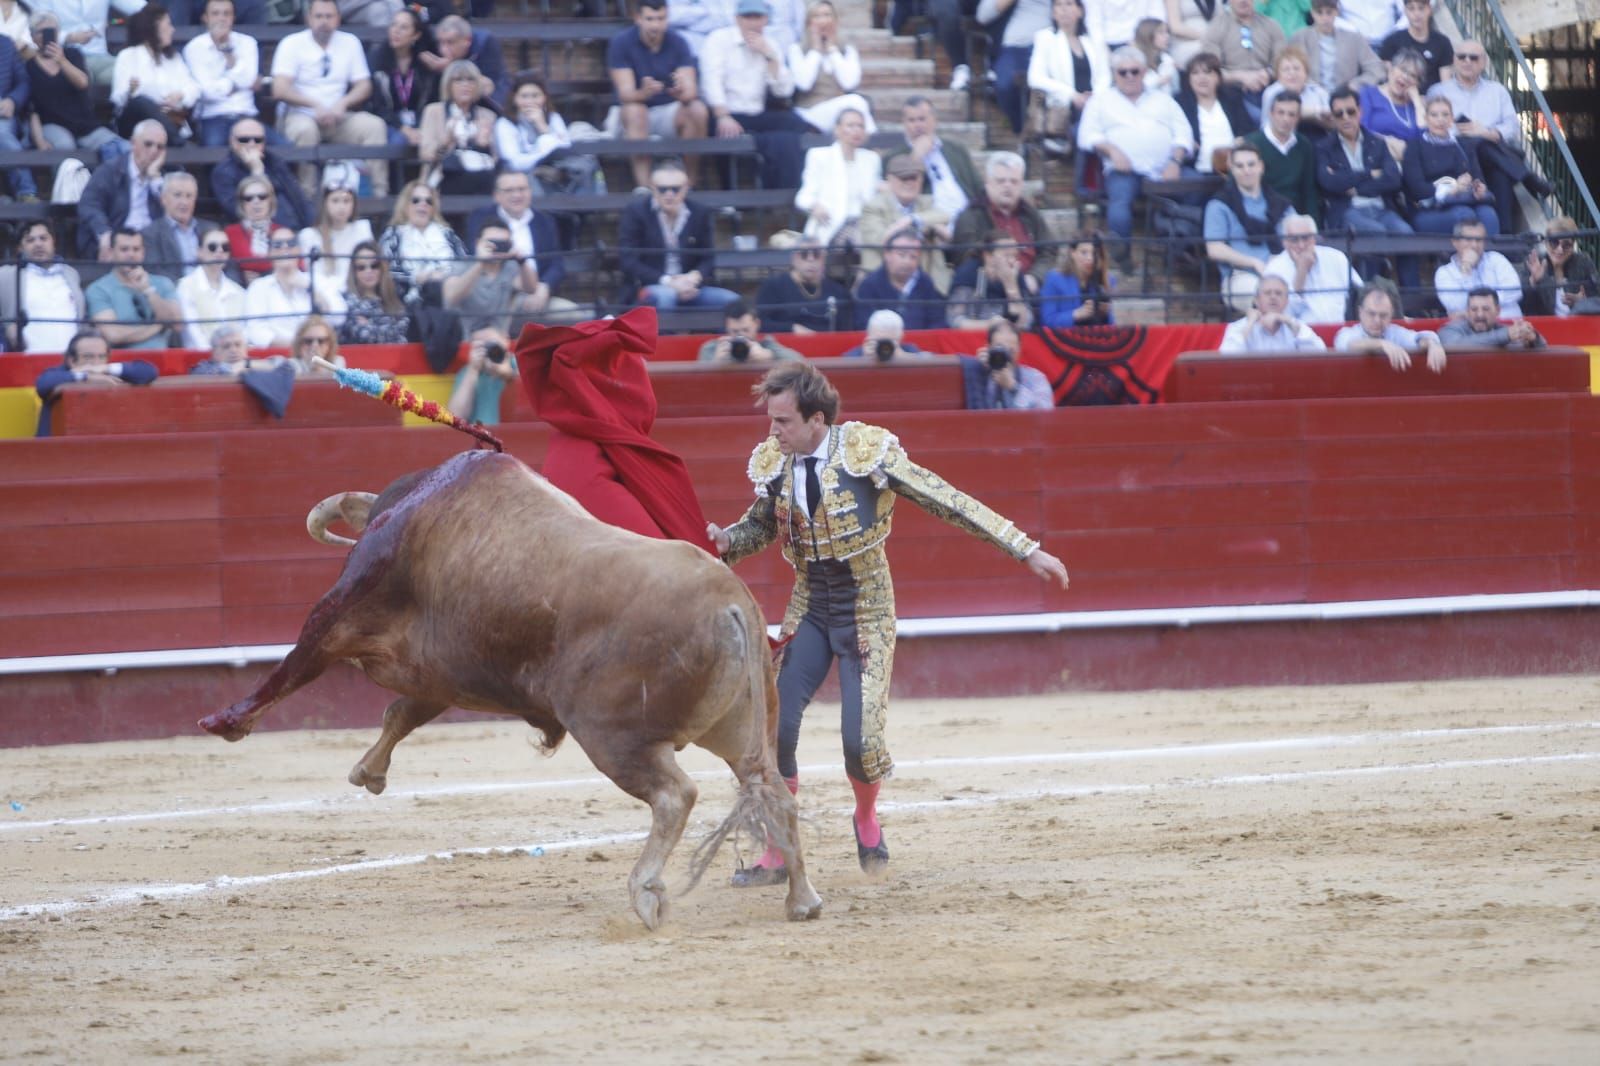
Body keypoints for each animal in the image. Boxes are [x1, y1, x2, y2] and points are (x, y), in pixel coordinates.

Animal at [200, 444, 825, 928]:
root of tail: (731, 604)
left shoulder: (343, 609)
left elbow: (296, 663)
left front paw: (227, 720)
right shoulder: (440, 672)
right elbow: (401, 714)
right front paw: (369, 772)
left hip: (612, 736)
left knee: (676, 795)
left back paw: (646, 891)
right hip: (741, 730)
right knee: (773, 791)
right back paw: (802, 899)